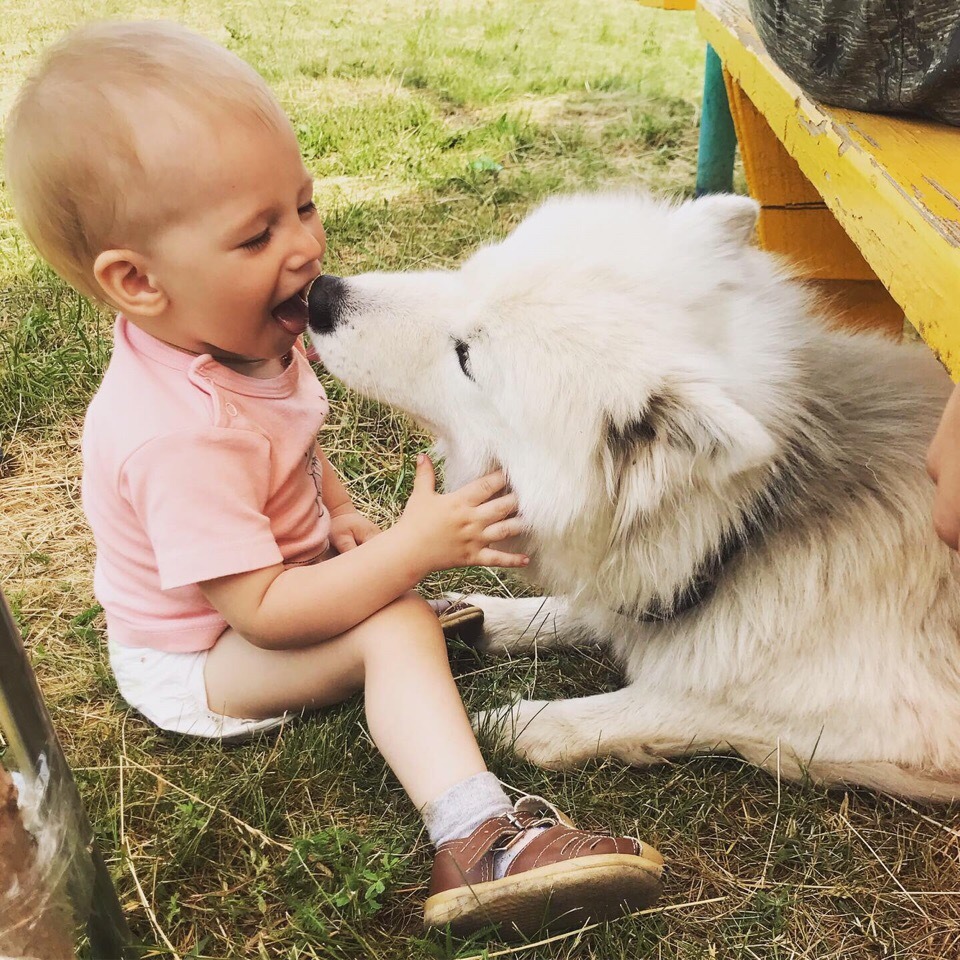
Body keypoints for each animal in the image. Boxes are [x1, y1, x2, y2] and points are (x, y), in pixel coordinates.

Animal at [308, 191, 960, 800]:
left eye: (465, 356)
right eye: (468, 271)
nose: (319, 294)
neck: (747, 523)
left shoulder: (901, 727)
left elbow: (680, 700)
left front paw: (524, 725)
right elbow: (583, 610)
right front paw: (487, 616)